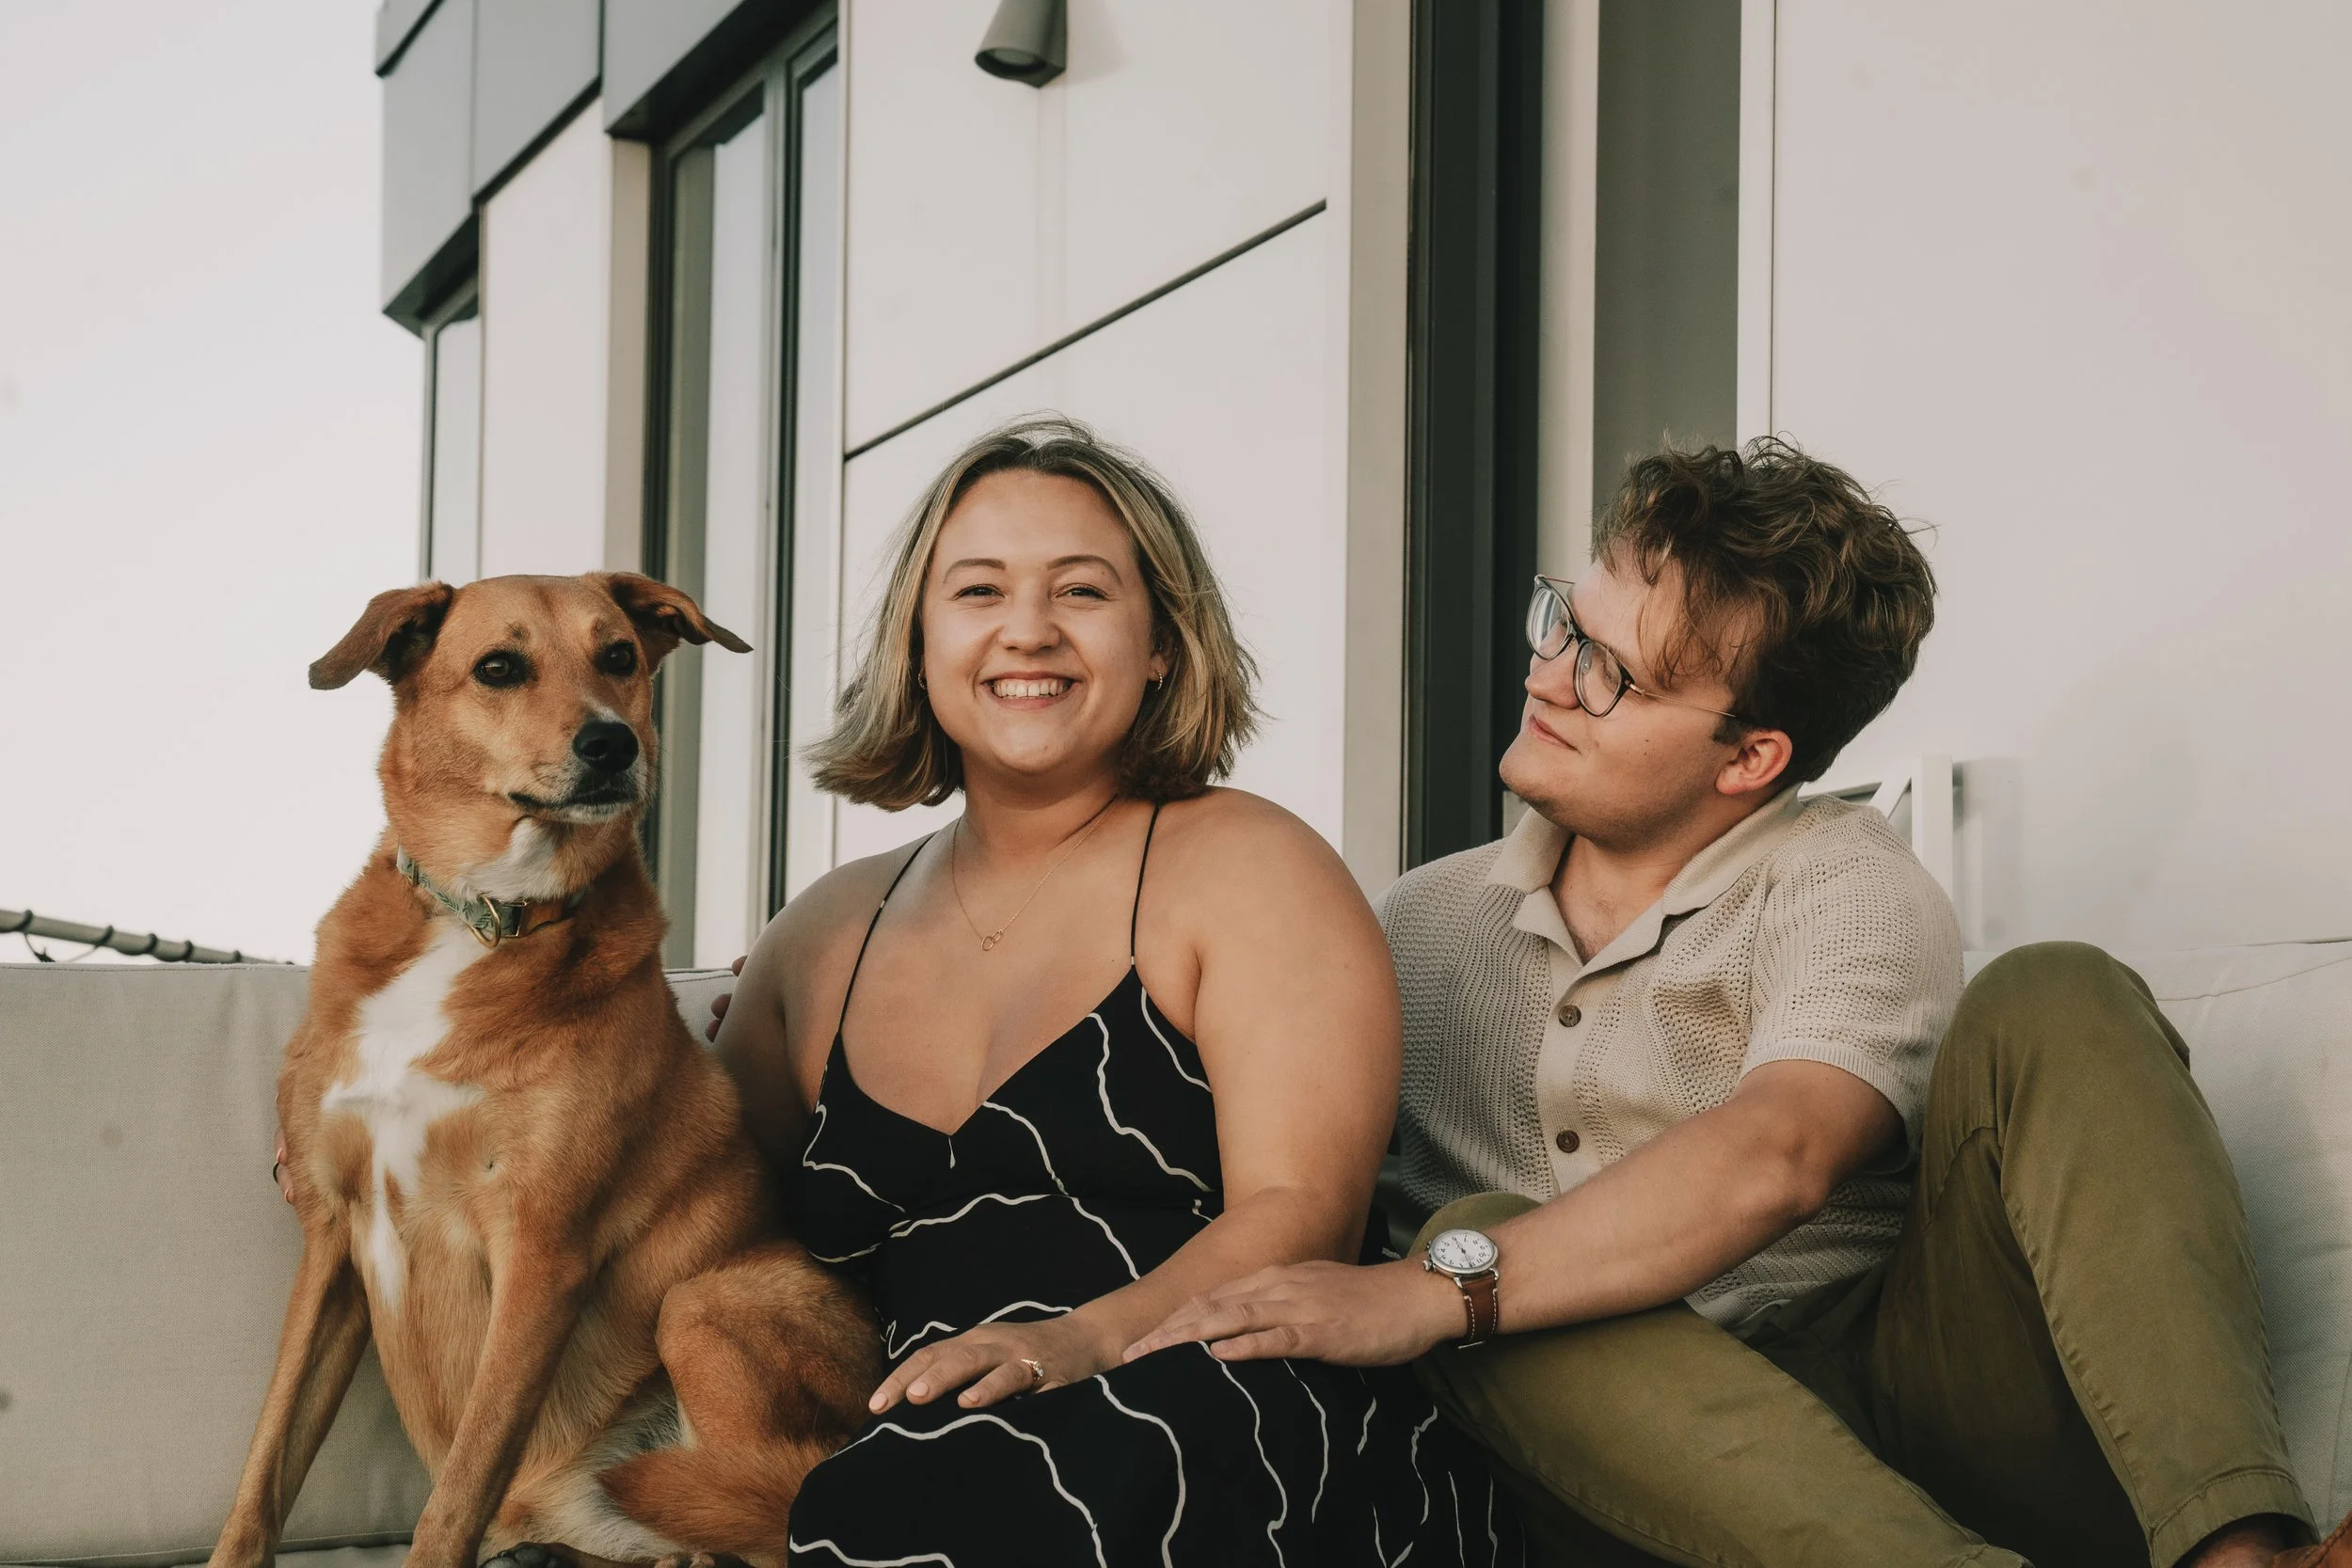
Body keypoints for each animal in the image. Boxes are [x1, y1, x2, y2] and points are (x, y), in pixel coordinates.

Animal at [208, 572, 877, 1568]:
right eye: (499, 667)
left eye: (619, 656)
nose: (612, 743)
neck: (485, 915)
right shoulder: (330, 1234)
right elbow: (265, 1468)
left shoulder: (541, 1249)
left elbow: (455, 1494)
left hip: (706, 1301)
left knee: (770, 1522)